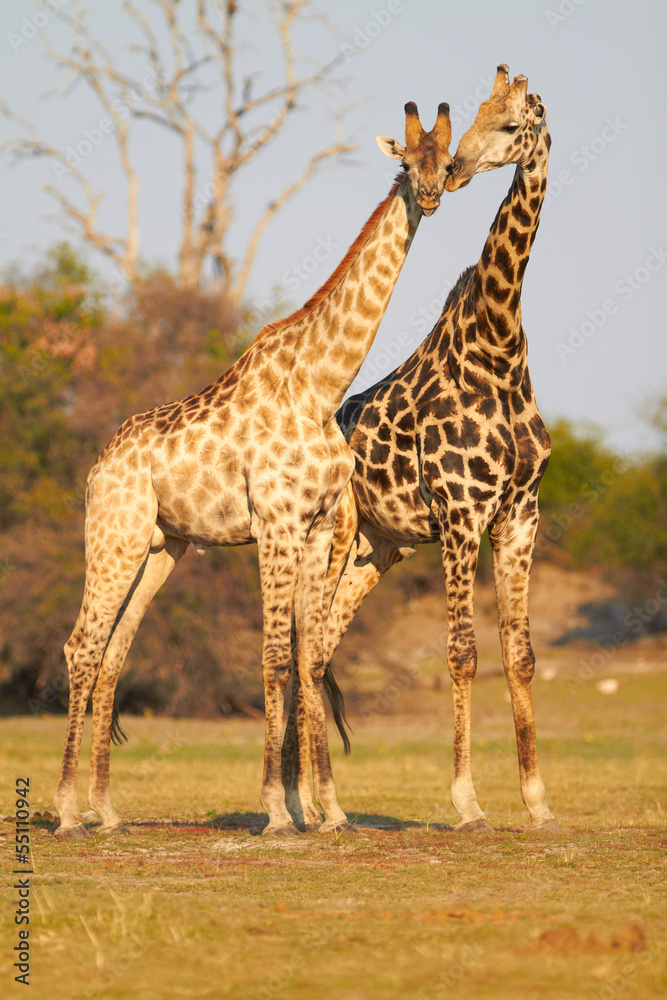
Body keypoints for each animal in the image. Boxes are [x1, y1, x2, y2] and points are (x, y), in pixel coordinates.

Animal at [52, 102, 453, 840]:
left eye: (449, 160)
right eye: (409, 163)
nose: (433, 195)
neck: (320, 384)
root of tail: (98, 466)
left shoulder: (319, 528)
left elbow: (310, 655)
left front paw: (329, 811)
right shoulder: (274, 522)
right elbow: (273, 656)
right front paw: (276, 812)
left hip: (162, 547)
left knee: (115, 652)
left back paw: (107, 811)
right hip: (113, 537)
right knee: (81, 646)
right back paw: (66, 813)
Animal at [283, 66, 560, 834]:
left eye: (509, 124)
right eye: (475, 115)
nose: (459, 173)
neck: (500, 345)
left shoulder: (519, 515)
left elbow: (522, 655)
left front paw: (537, 800)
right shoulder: (462, 515)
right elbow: (462, 652)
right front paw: (467, 801)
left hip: (379, 548)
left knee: (320, 647)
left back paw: (319, 802)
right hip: (331, 538)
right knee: (304, 648)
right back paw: (310, 805)